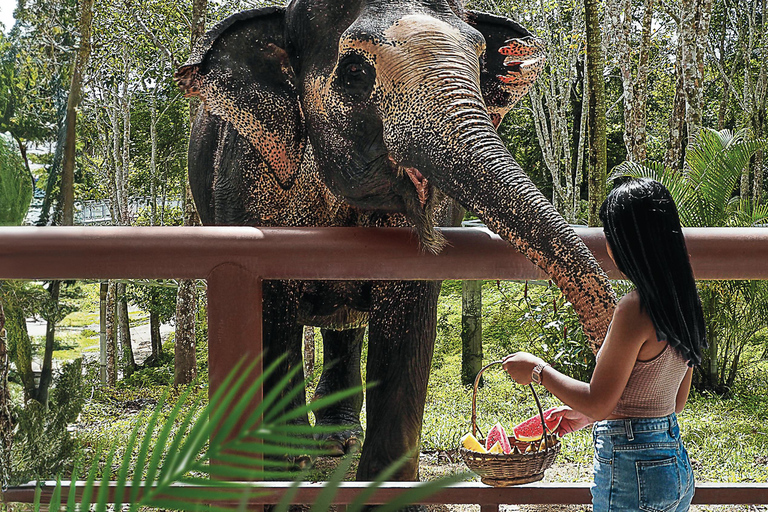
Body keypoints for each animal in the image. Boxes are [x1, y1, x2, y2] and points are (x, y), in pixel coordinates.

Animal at [176, 0, 616, 482]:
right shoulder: (246, 183)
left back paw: (337, 441)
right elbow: (269, 319)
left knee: (344, 327)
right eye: (354, 71)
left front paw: (386, 482)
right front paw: (280, 469)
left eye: (479, 56)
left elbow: (409, 316)